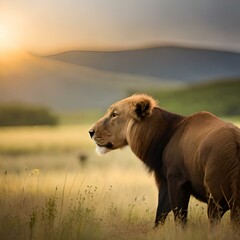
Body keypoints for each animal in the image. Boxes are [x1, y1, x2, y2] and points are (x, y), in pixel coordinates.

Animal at [88, 94, 240, 227]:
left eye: (114, 114)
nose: (91, 132)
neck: (164, 134)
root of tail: (235, 143)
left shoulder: (176, 180)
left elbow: (179, 220)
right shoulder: (166, 183)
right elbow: (160, 216)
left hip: (216, 197)